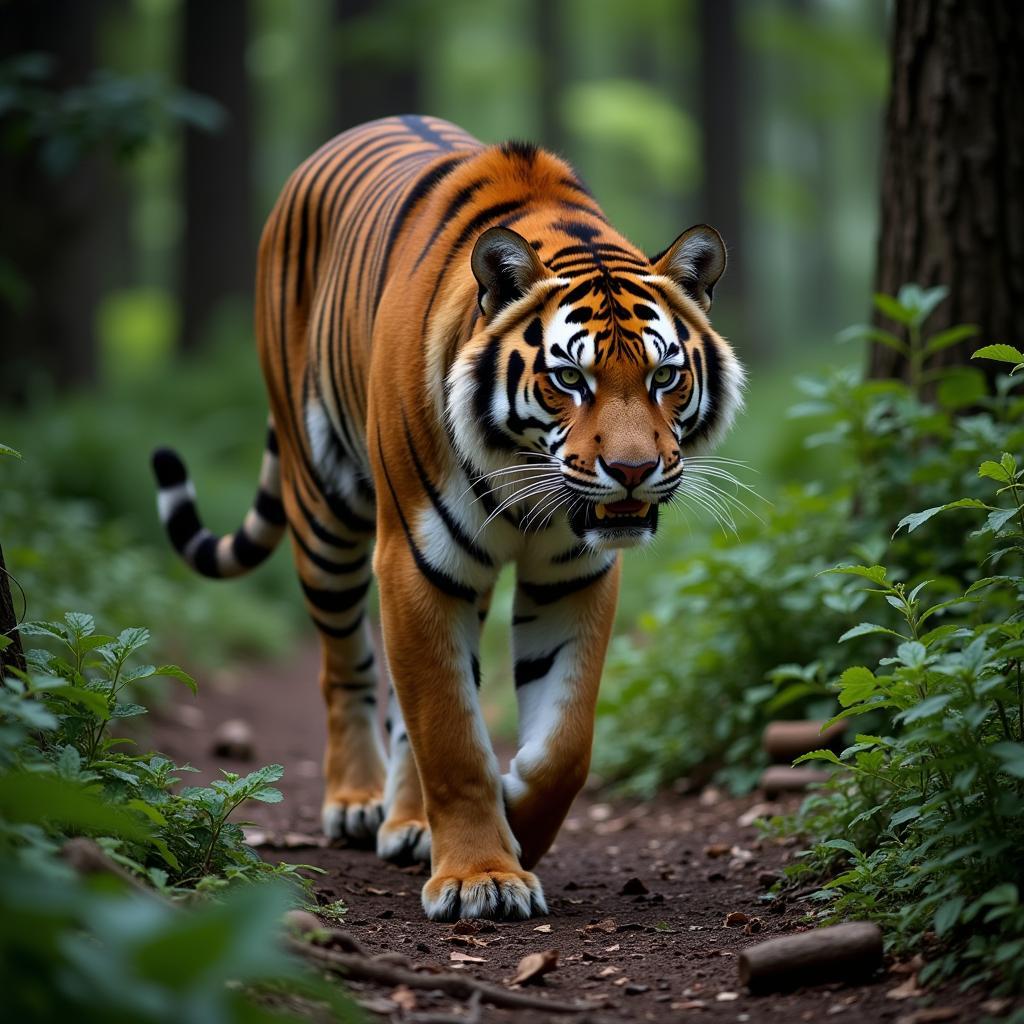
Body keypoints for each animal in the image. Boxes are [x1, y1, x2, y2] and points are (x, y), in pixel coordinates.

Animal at [151, 116, 745, 925]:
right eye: (569, 378)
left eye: (665, 376)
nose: (631, 470)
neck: (526, 480)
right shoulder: (416, 560)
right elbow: (450, 735)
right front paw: (480, 877)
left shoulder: (573, 575)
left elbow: (565, 743)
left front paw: (517, 818)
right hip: (324, 509)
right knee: (347, 667)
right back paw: (358, 802)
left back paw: (409, 824)